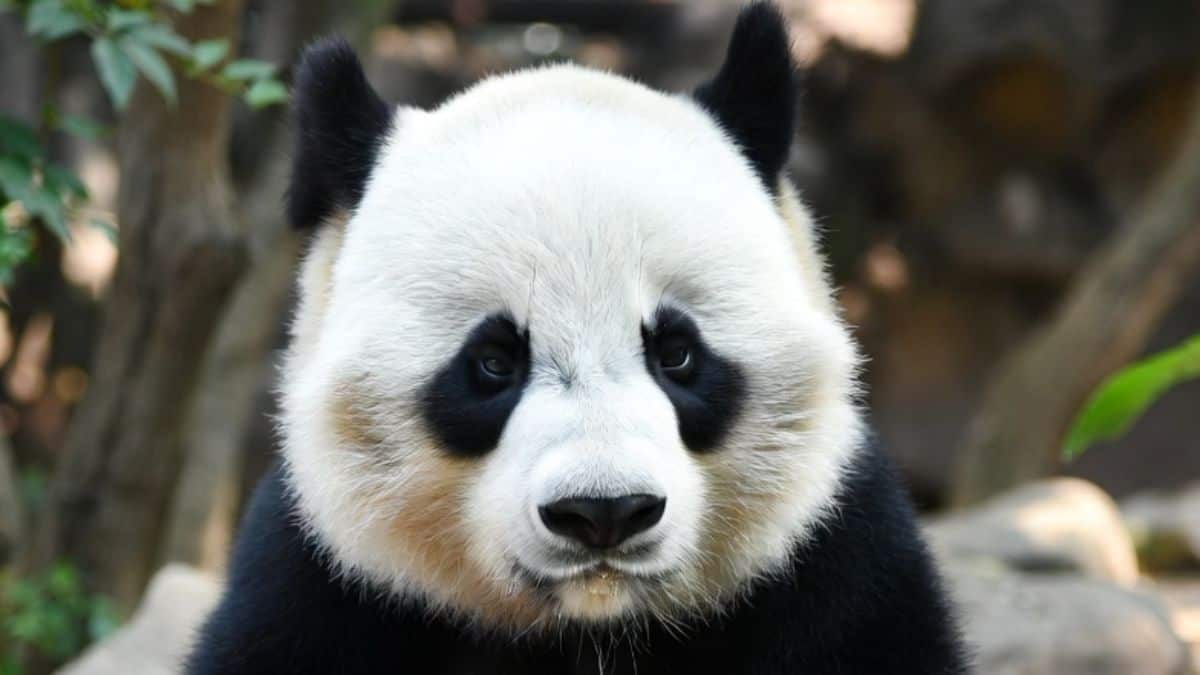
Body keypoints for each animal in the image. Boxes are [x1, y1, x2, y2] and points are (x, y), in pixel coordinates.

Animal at [186, 3, 968, 674]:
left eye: (677, 353)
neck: (591, 629)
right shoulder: (323, 581)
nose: (603, 512)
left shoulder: (834, 564)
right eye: (493, 362)